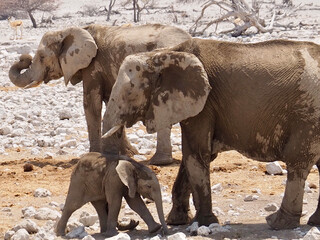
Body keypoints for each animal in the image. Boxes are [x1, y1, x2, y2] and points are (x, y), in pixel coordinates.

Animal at [8, 23, 191, 165]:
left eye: (41, 56)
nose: (23, 58)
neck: (72, 30)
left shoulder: (92, 66)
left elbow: (92, 104)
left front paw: (93, 155)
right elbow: (111, 103)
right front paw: (129, 154)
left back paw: (160, 162)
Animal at [102, 39, 320, 231]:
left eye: (129, 93)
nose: (130, 223)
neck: (164, 54)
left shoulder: (204, 104)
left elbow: (197, 154)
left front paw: (203, 223)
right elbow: (191, 157)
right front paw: (178, 221)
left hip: (307, 116)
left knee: (297, 161)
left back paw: (277, 223)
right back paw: (312, 222)